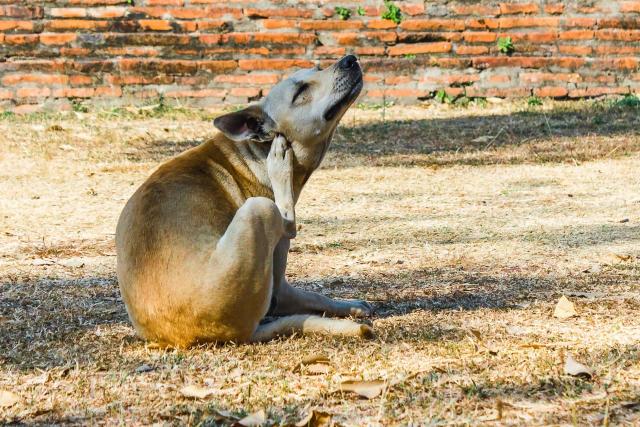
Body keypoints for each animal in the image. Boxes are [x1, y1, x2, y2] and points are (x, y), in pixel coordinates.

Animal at [115, 55, 376, 348]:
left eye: (319, 69)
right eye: (300, 92)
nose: (349, 59)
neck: (253, 153)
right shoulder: (280, 288)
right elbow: (312, 293)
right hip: (260, 209)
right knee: (286, 220)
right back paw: (279, 168)